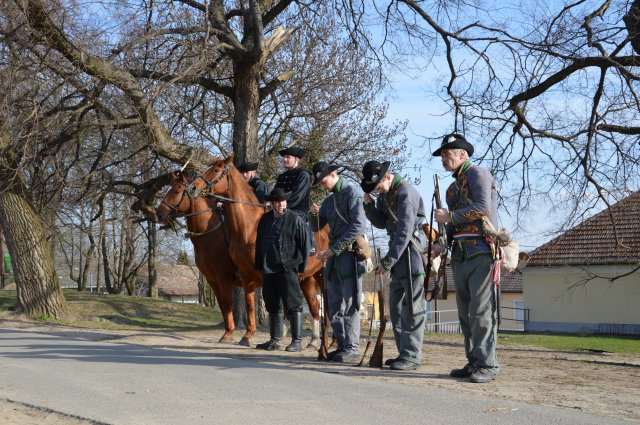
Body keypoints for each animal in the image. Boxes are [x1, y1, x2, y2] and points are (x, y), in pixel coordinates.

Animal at [186, 154, 330, 346]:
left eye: (216, 170)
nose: (192, 188)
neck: (250, 228)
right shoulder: (246, 276)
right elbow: (250, 305)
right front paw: (247, 336)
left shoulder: (266, 275)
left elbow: (273, 307)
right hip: (306, 279)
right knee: (314, 306)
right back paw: (313, 340)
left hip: (322, 276)